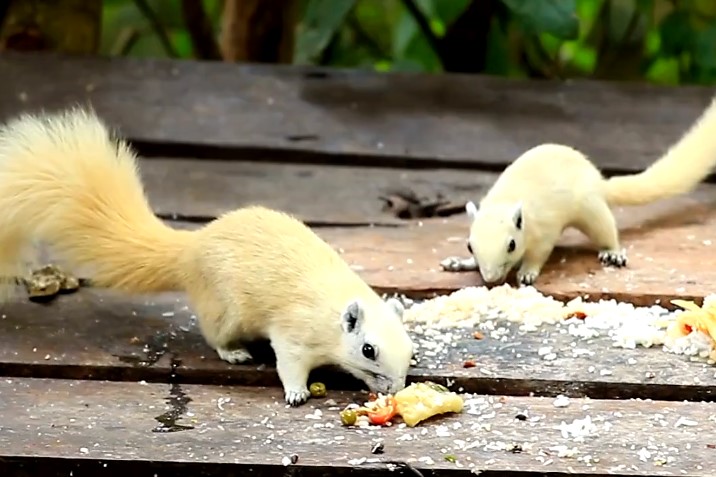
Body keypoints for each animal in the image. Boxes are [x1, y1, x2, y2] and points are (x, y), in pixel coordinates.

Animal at [0, 108, 414, 406]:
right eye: (368, 350)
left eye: (410, 349)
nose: (395, 388)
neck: (331, 313)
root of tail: (190, 249)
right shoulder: (294, 333)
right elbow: (290, 363)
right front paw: (296, 392)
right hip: (225, 309)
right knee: (215, 335)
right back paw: (233, 353)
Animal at [440, 95, 716, 284]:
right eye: (469, 246)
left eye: (511, 245)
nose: (491, 279)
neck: (505, 202)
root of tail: (599, 181)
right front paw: (463, 263)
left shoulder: (545, 231)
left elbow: (538, 254)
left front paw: (527, 273)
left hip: (590, 210)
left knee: (606, 230)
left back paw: (613, 253)